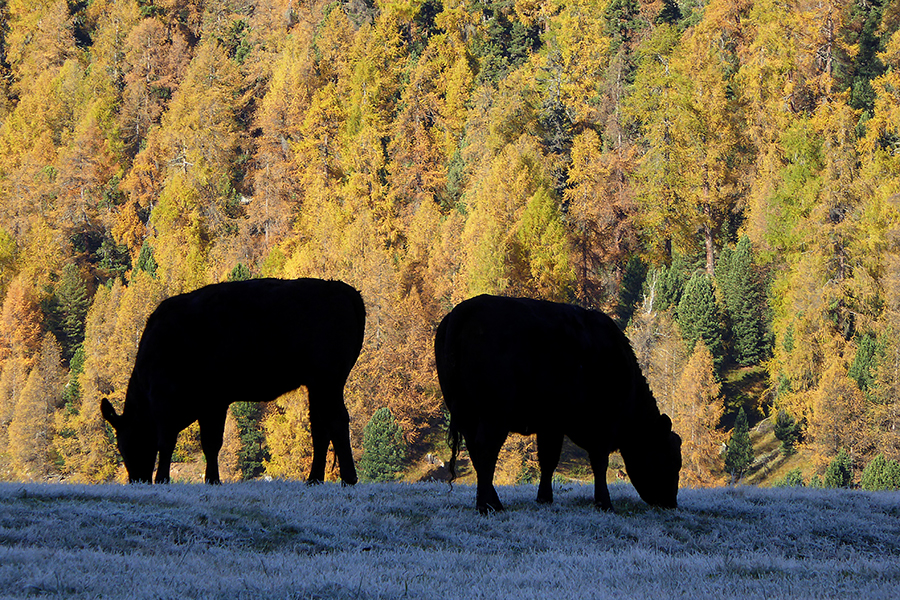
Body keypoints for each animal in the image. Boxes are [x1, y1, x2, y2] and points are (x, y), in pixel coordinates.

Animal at [100, 278, 364, 486]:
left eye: (125, 445)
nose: (137, 480)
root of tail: (344, 290)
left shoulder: (167, 402)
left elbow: (169, 442)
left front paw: (164, 479)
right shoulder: (212, 402)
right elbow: (211, 443)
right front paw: (213, 480)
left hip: (328, 378)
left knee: (336, 420)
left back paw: (348, 479)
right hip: (317, 384)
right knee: (320, 426)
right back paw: (314, 480)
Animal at [436, 292, 684, 512]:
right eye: (671, 459)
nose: (671, 503)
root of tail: (465, 309)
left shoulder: (551, 424)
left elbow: (548, 460)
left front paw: (545, 498)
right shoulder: (601, 426)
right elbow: (599, 463)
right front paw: (604, 503)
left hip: (466, 412)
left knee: (475, 451)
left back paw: (492, 502)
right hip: (494, 412)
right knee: (486, 449)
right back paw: (487, 506)